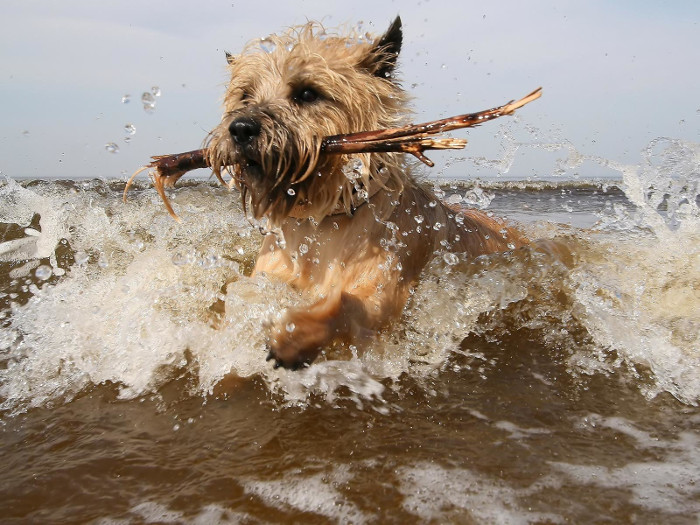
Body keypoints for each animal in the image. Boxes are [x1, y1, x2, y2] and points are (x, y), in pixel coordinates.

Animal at [205, 16, 524, 368]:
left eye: (307, 93)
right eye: (245, 95)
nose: (240, 128)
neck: (323, 222)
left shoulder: (385, 296)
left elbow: (348, 306)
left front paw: (295, 334)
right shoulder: (266, 276)